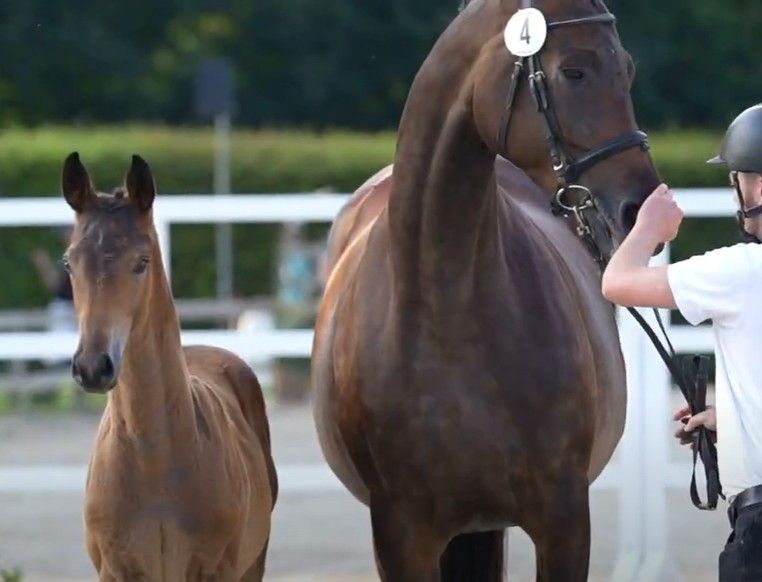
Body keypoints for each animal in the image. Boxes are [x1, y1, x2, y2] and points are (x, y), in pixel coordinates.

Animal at [62, 153, 278, 581]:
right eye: (69, 263)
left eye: (141, 262)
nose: (92, 366)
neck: (154, 461)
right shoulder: (115, 571)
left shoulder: (218, 570)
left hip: (253, 562)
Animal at [312, 0, 661, 579]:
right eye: (574, 71)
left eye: (628, 69)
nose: (642, 208)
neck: (446, 310)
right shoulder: (400, 534)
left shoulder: (564, 520)